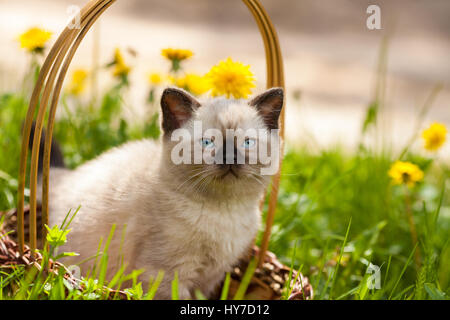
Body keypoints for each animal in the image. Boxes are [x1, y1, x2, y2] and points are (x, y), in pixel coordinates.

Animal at [42, 86, 284, 298]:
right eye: (207, 142)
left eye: (247, 143)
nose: (229, 158)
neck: (223, 212)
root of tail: (67, 178)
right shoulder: (167, 274)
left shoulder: (211, 278)